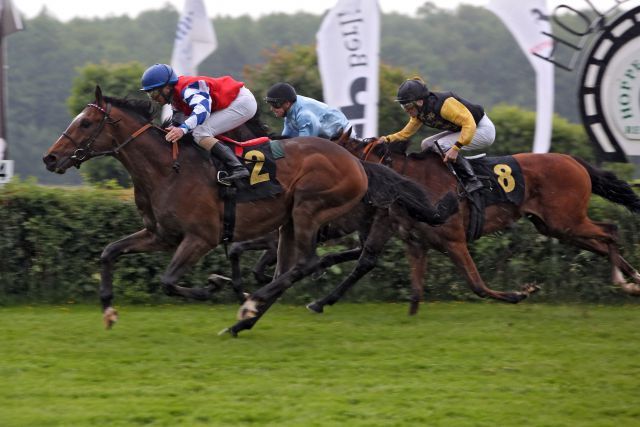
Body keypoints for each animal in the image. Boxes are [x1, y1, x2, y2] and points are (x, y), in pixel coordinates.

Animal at [310, 132, 640, 312]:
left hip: (566, 220)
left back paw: (624, 282)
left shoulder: (453, 240)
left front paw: (520, 293)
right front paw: (320, 301)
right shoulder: (411, 238)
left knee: (610, 231)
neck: (407, 180)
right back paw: (634, 279)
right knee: (603, 242)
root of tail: (573, 160)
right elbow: (385, 272)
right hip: (556, 226)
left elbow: (476, 284)